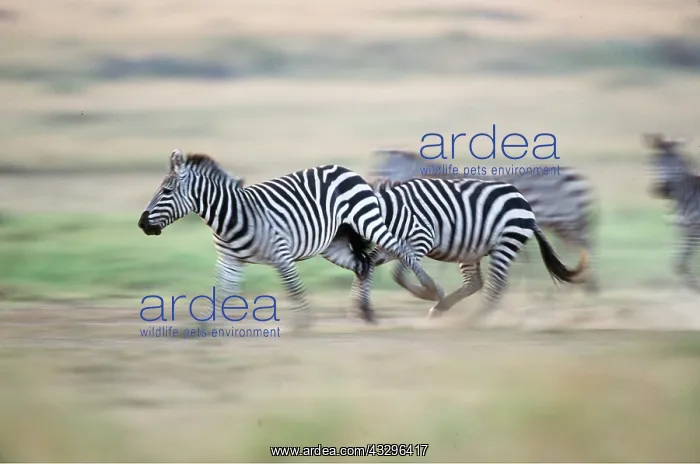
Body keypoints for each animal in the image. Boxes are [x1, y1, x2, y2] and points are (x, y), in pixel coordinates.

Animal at [137, 149, 444, 328]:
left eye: (166, 191)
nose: (141, 224)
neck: (230, 216)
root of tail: (346, 170)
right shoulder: (229, 261)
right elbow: (222, 293)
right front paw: (207, 329)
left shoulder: (281, 255)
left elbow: (294, 289)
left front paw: (304, 327)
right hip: (334, 243)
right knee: (364, 264)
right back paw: (365, 312)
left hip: (366, 220)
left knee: (400, 248)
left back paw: (432, 291)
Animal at [344, 177, 588, 324]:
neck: (392, 212)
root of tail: (525, 203)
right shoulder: (389, 247)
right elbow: (372, 266)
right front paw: (360, 308)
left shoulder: (420, 239)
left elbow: (398, 273)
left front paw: (429, 292)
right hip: (470, 250)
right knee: (475, 283)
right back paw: (442, 309)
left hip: (505, 243)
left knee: (496, 284)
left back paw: (474, 319)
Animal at [370, 149, 599, 293]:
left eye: (381, 172)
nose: (371, 190)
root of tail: (575, 175)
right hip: (564, 226)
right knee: (580, 248)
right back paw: (583, 283)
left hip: (568, 223)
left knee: (586, 246)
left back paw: (588, 285)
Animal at [642, 133, 700, 291]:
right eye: (654, 162)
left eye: (678, 163)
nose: (663, 190)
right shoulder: (680, 231)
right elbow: (678, 263)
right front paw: (693, 286)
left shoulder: (695, 231)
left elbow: (680, 263)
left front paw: (694, 287)